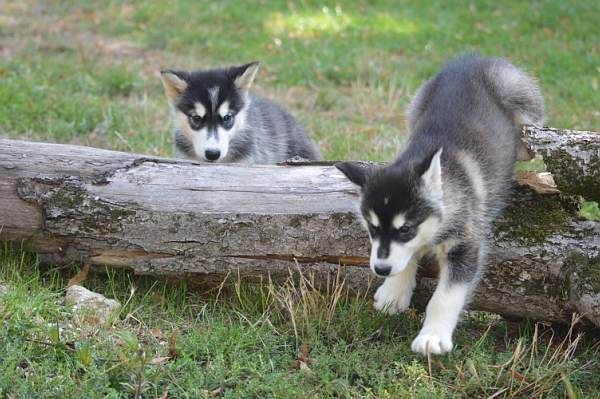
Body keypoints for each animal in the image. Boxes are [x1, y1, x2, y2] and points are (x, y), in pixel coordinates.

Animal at [338, 54, 544, 354]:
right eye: (372, 228)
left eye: (405, 229)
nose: (381, 270)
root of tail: (471, 58)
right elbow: (406, 258)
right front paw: (394, 290)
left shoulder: (466, 246)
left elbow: (445, 297)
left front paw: (432, 337)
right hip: (416, 103)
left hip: (520, 96)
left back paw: (522, 147)